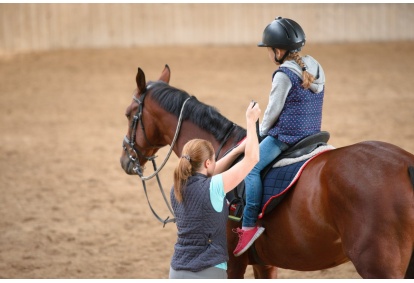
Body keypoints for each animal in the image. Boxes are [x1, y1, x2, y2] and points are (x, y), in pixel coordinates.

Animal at [119, 64, 414, 280]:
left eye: (129, 114)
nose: (125, 160)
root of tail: (405, 165)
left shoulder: (232, 265)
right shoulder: (264, 264)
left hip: (377, 267)